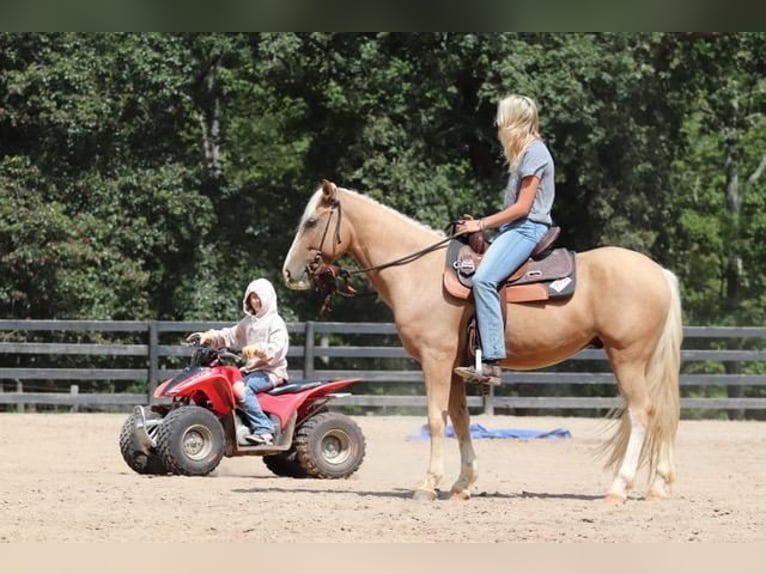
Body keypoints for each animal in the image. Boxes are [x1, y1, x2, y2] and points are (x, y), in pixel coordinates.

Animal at [282, 179, 684, 504]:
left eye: (312, 222)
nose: (289, 272)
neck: (419, 272)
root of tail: (659, 273)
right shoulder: (456, 366)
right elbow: (459, 420)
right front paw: (463, 484)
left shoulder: (436, 359)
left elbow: (435, 418)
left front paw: (428, 485)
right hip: (643, 361)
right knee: (661, 412)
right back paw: (658, 486)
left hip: (627, 357)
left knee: (642, 412)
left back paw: (619, 488)